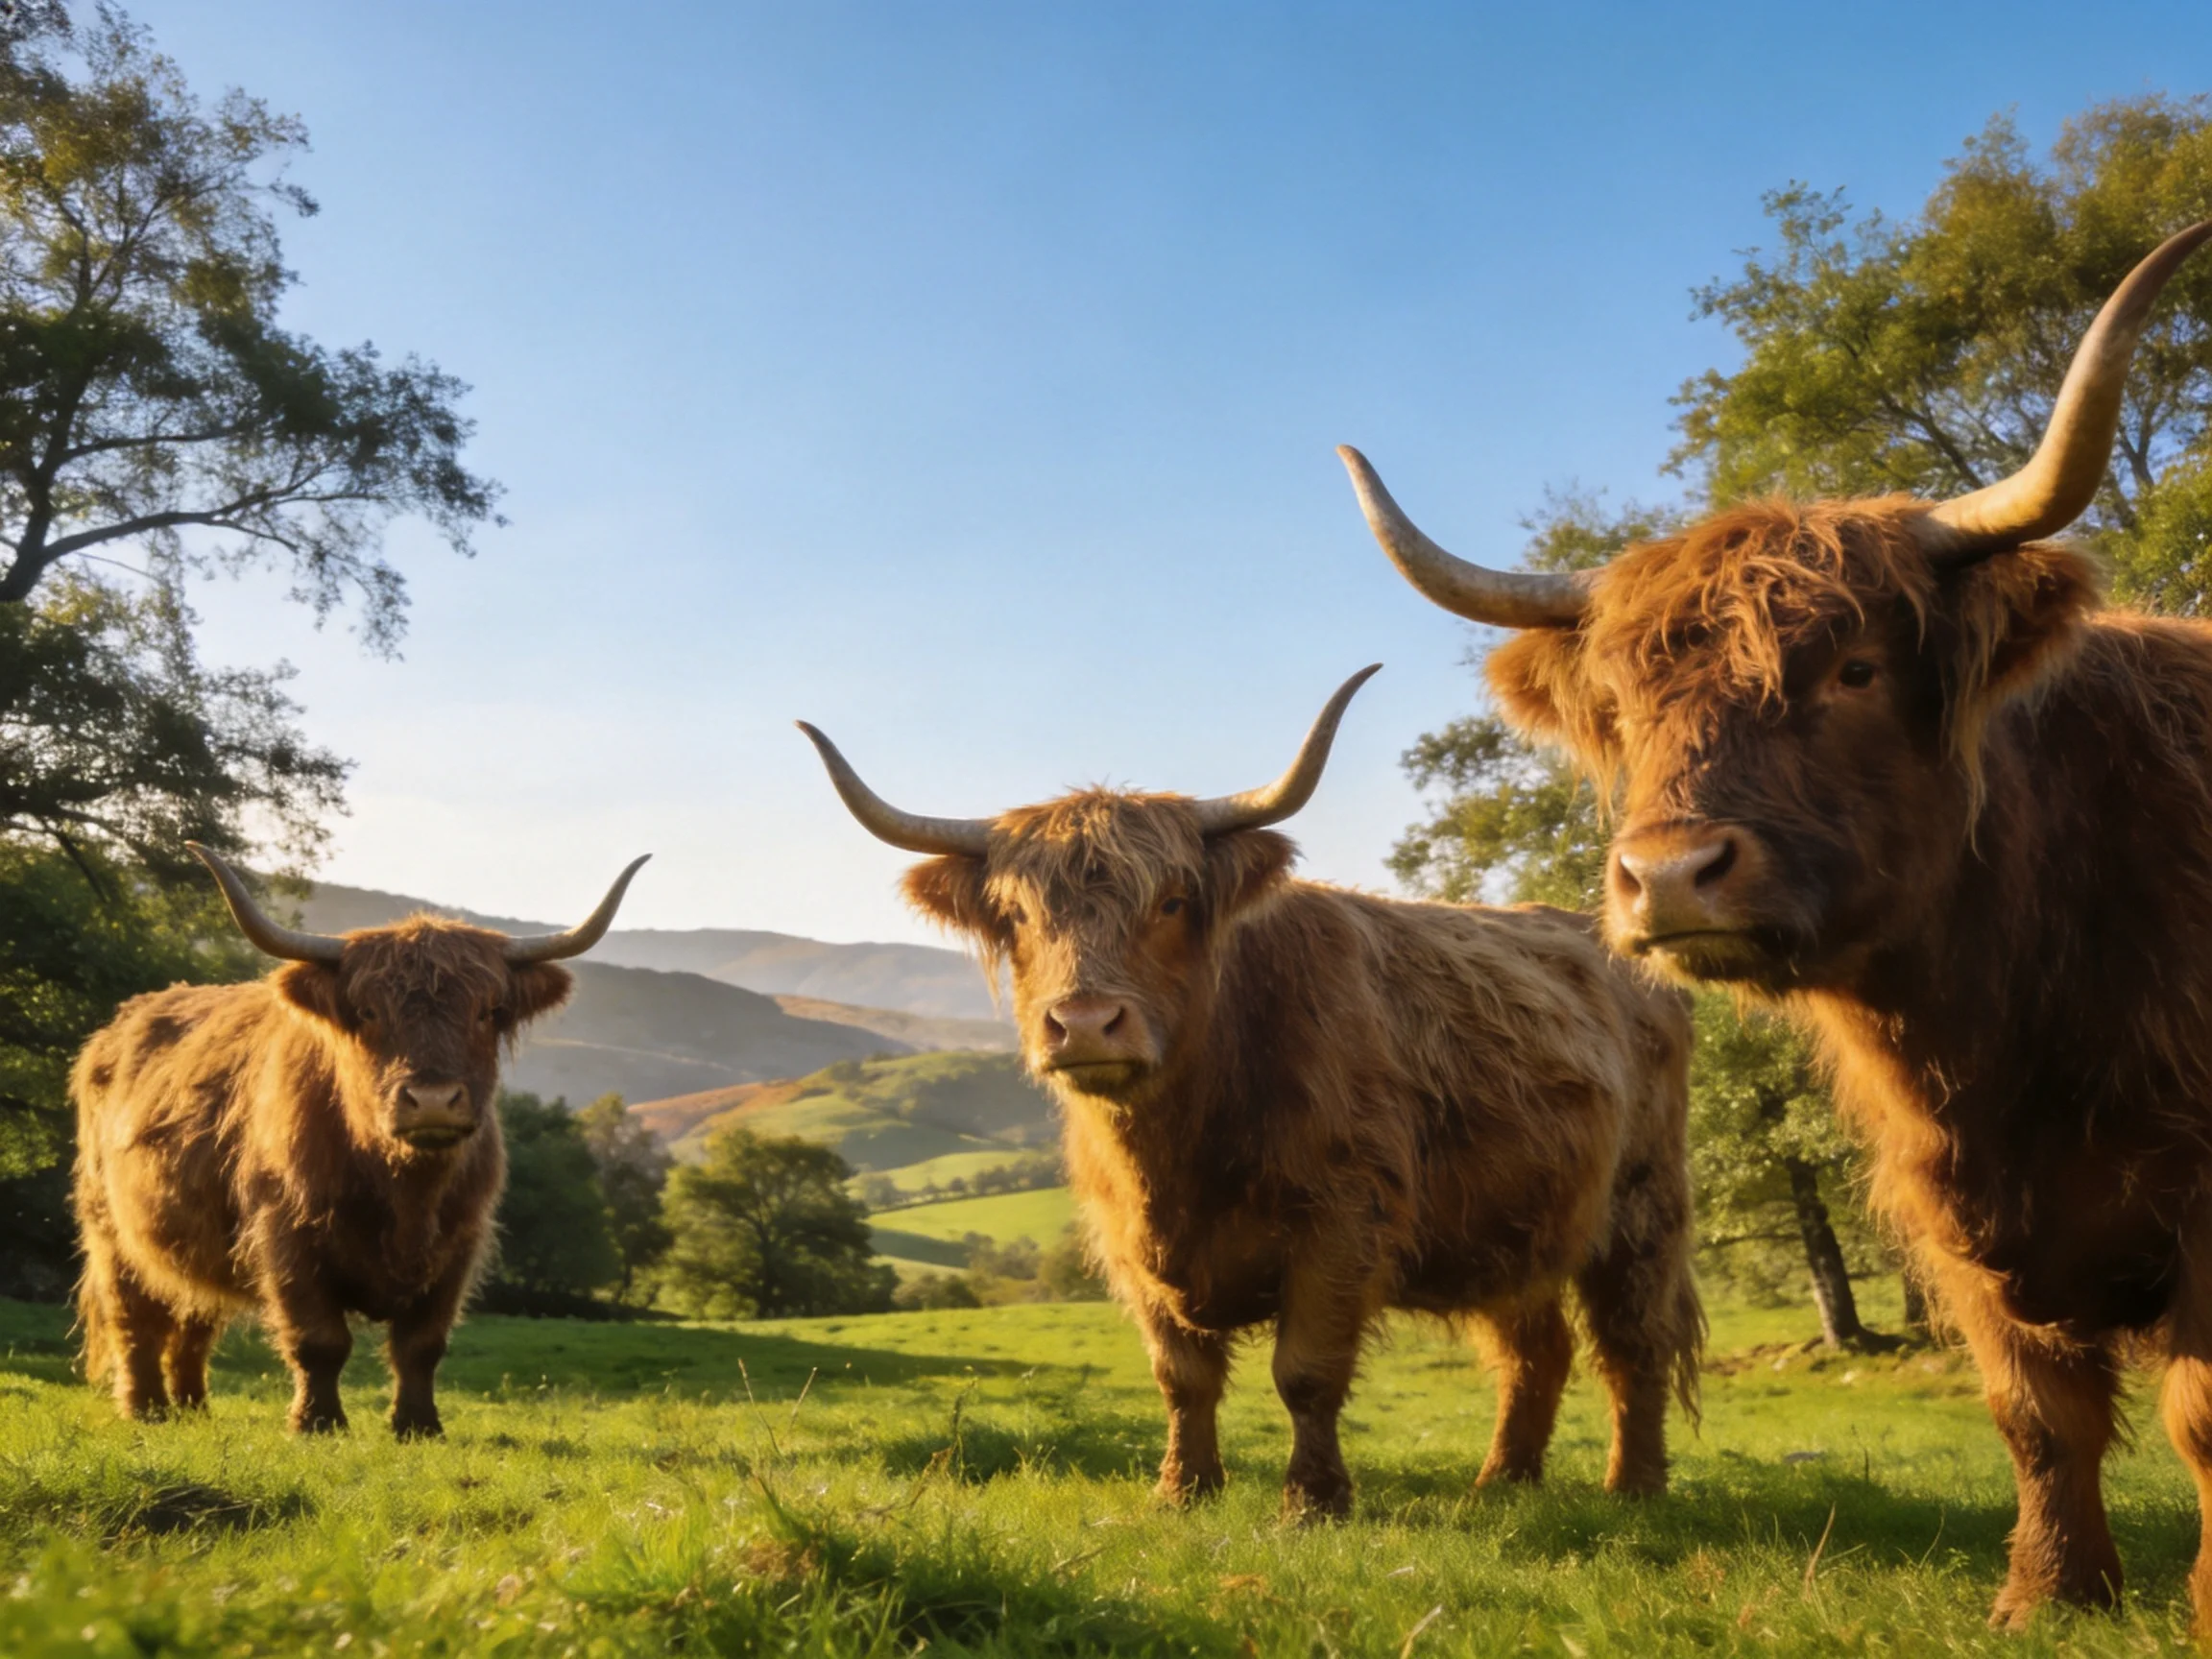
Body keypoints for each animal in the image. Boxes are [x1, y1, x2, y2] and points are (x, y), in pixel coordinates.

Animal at [71, 846, 648, 1437]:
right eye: (370, 1012)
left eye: (487, 1011)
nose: (433, 1099)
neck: (404, 1190)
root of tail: (115, 1029)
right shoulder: (287, 1236)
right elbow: (319, 1340)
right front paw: (317, 1423)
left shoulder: (459, 1244)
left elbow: (422, 1345)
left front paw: (418, 1426)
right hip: (110, 1231)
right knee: (134, 1320)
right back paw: (146, 1409)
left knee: (193, 1318)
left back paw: (192, 1409)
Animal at [800, 669, 1701, 1518]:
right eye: (1016, 915)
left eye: (1170, 902)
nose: (1085, 1024)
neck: (1179, 1146)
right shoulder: (1129, 1247)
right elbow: (1181, 1376)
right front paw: (1182, 1490)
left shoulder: (1342, 1225)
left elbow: (1305, 1373)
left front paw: (1313, 1502)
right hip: (1512, 1228)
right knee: (1534, 1349)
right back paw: (1501, 1482)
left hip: (1642, 1206)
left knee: (1634, 1343)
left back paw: (1635, 1488)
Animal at [1341, 220, 2212, 1628]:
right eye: (1622, 709)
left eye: (1854, 669)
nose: (1669, 876)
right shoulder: (1954, 1211)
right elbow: (2035, 1410)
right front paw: (2045, 1598)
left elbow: (2196, 1413)